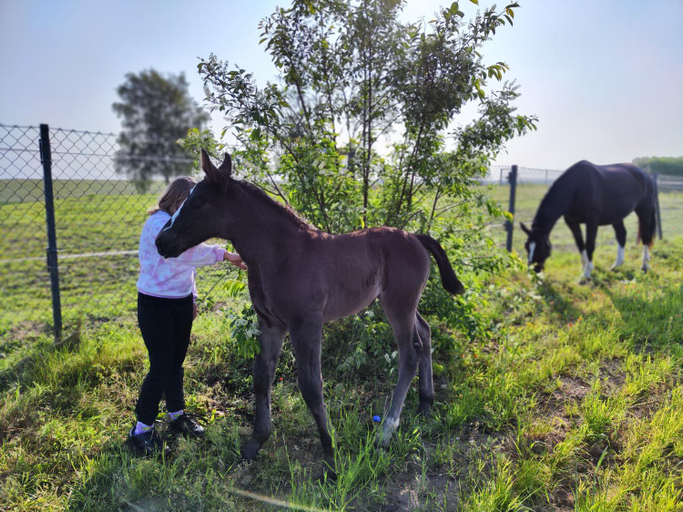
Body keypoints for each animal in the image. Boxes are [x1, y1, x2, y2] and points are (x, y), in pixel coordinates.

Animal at [155, 149, 464, 477]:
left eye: (198, 202)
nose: (161, 241)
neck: (280, 254)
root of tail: (417, 237)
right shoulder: (271, 324)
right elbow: (262, 377)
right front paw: (255, 444)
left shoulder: (307, 324)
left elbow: (311, 385)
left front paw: (330, 456)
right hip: (405, 303)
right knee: (425, 334)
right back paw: (426, 405)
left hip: (398, 304)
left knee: (409, 354)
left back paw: (386, 432)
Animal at [520, 160, 657, 278]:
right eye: (526, 246)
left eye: (541, 247)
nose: (533, 272)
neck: (576, 187)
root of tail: (645, 175)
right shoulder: (571, 222)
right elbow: (580, 244)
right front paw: (584, 267)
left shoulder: (592, 222)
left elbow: (589, 244)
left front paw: (587, 273)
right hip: (616, 216)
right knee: (621, 235)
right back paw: (616, 265)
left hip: (644, 210)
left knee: (645, 236)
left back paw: (644, 265)